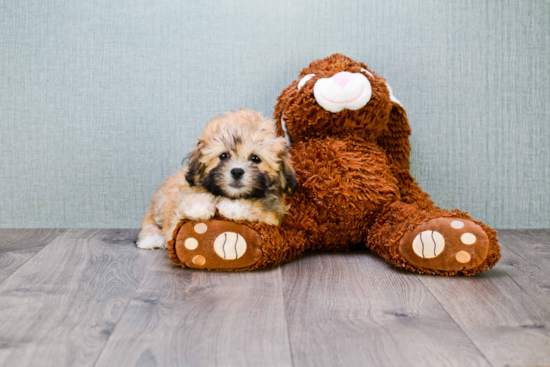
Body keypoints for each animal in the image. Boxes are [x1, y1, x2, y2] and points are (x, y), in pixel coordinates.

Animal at [136, 108, 298, 250]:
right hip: (160, 202)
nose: (237, 171)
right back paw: (151, 238)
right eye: (224, 156)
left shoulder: (274, 216)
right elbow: (187, 202)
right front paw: (198, 207)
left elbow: (257, 207)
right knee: (150, 220)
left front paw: (233, 206)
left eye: (255, 158)